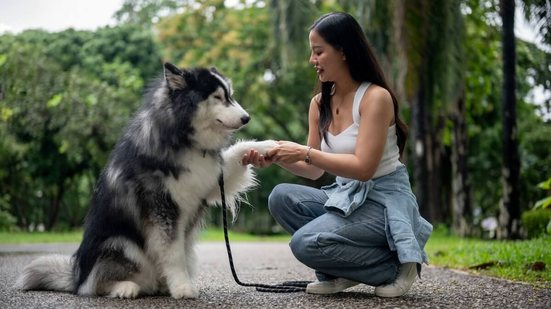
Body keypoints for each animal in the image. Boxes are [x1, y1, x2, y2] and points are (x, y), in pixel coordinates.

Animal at [15, 63, 278, 298]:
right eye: (218, 97)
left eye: (230, 96)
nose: (247, 118)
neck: (183, 139)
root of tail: (76, 275)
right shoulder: (162, 208)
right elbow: (173, 254)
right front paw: (182, 288)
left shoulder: (211, 183)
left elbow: (240, 150)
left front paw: (268, 146)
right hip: (120, 244)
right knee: (94, 285)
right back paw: (125, 288)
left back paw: (160, 285)